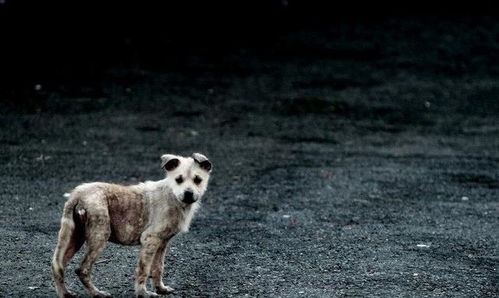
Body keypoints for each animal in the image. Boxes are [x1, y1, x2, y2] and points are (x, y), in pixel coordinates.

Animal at [51, 152, 212, 296]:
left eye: (198, 179)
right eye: (178, 179)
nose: (188, 194)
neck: (172, 195)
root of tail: (77, 194)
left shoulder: (162, 243)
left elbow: (158, 268)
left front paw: (160, 289)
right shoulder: (150, 239)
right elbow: (144, 269)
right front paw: (143, 293)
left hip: (75, 237)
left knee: (57, 265)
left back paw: (65, 293)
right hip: (99, 235)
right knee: (82, 269)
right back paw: (97, 293)